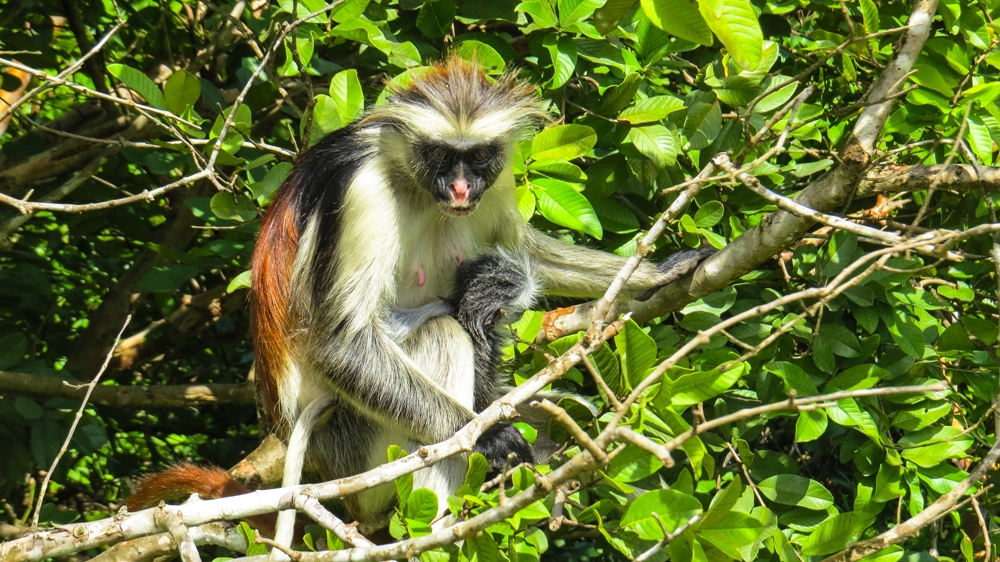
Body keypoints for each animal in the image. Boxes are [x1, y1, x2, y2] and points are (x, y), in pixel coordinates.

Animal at [129, 58, 712, 532]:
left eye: (477, 159)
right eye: (439, 156)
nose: (460, 189)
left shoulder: (497, 183)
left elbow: (525, 250)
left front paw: (654, 273)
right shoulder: (364, 187)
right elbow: (343, 344)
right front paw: (485, 437)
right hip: (352, 442)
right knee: (441, 333)